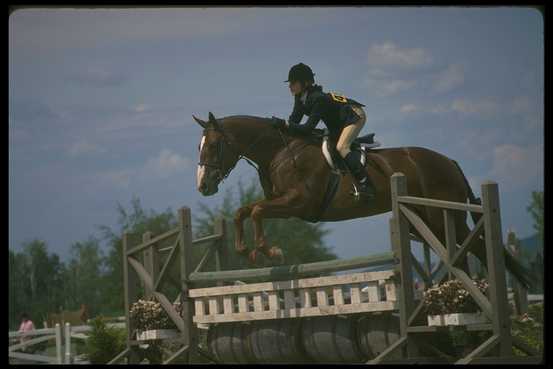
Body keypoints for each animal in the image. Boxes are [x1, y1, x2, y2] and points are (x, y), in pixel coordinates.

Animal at [192, 112, 528, 288]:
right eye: (199, 146)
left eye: (214, 145)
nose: (203, 186)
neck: (280, 151)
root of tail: (450, 162)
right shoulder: (284, 204)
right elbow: (243, 211)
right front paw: (245, 250)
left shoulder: (299, 202)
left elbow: (258, 210)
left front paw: (270, 251)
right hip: (423, 221)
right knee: (465, 249)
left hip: (441, 217)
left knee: (474, 247)